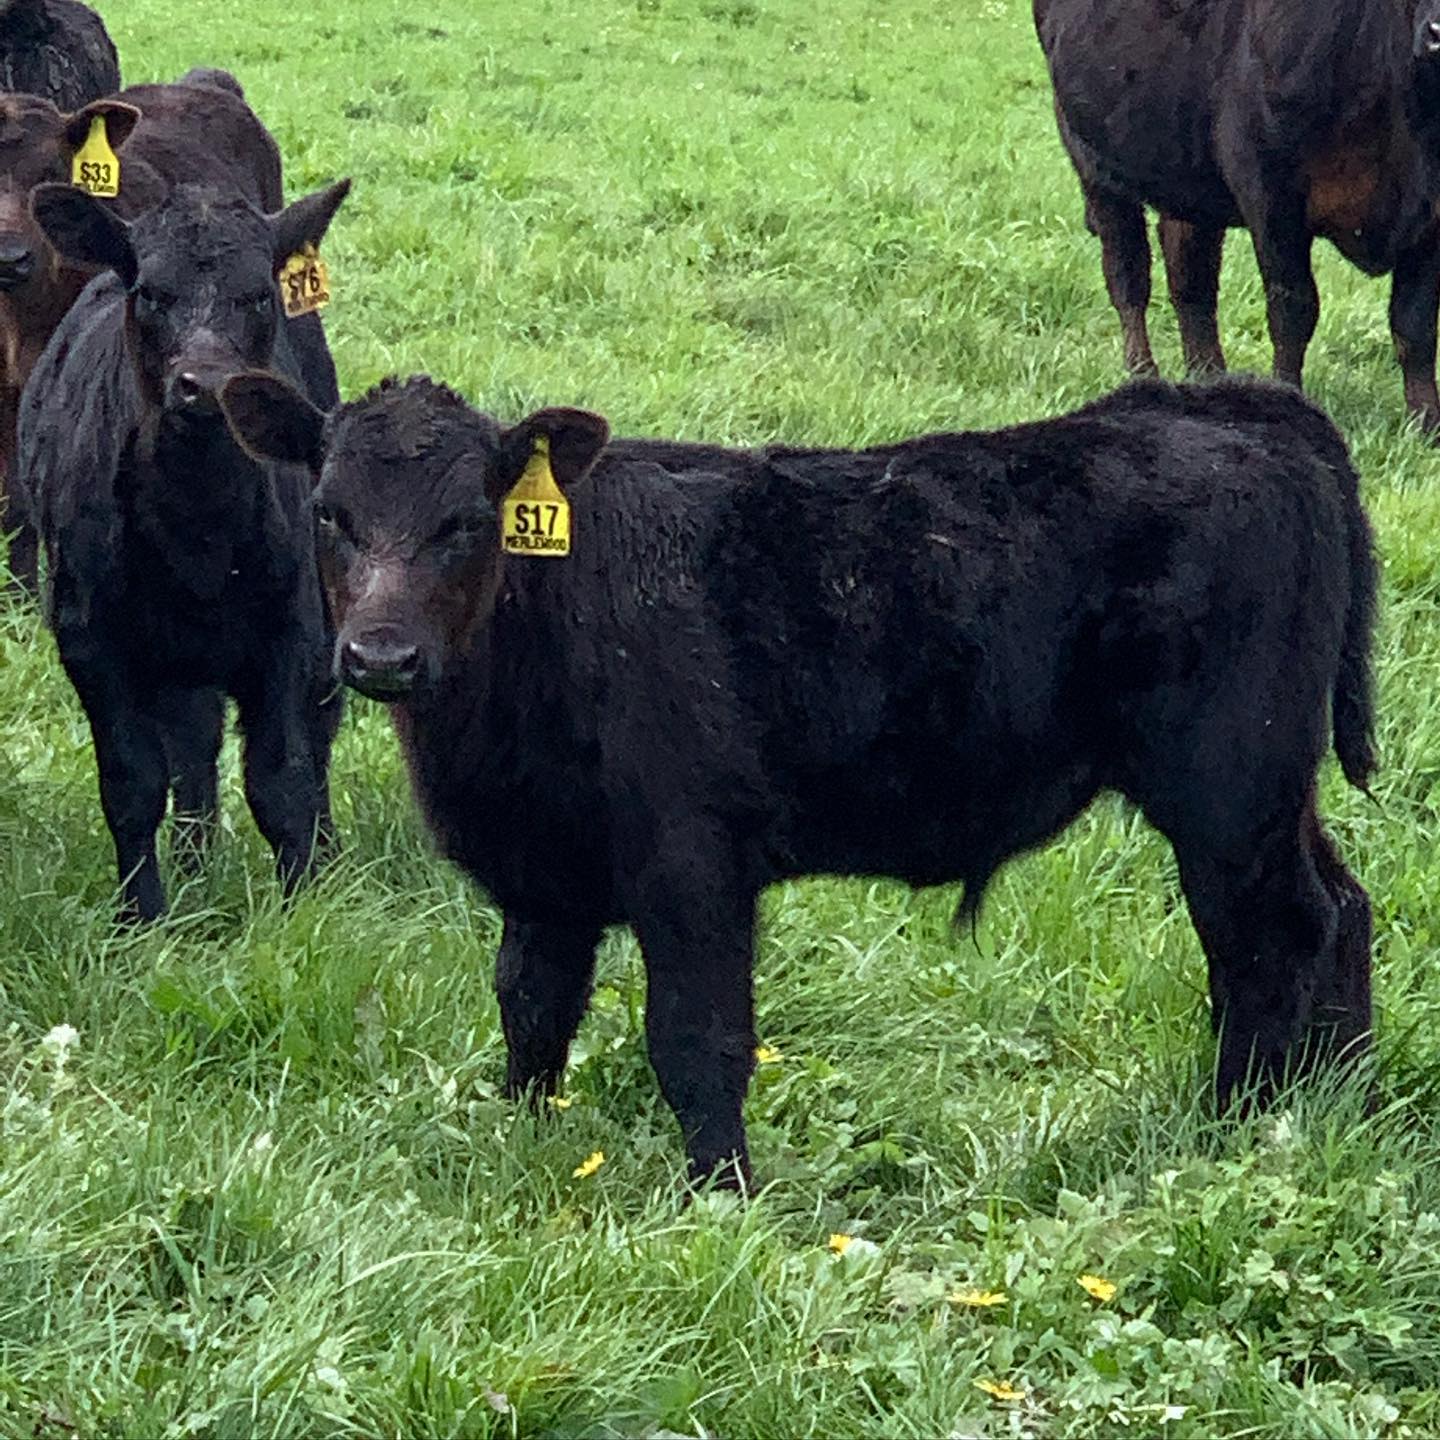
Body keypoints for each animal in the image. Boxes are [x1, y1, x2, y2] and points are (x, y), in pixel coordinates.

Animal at [16, 174, 351, 920]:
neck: (199, 530)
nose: (205, 386)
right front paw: (141, 913)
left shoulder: (292, 629)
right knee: (193, 754)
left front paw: (301, 907)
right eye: (152, 293)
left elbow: (282, 779)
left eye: (258, 294)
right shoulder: (92, 641)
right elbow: (134, 783)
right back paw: (197, 869)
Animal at [218, 369, 1378, 1187]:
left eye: (467, 519)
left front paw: (719, 1195)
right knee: (1340, 908)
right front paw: (521, 1142)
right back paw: (1335, 1101)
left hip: (1226, 790)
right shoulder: (544, 876)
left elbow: (696, 1037)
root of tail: (1213, 405)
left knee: (1268, 940)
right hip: (1274, 790)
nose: (380, 655)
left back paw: (1234, 1124)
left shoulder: (692, 865)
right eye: (327, 512)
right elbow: (532, 1009)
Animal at [1035, 0, 1440, 432]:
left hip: (1188, 175)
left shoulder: (1431, 219)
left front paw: (1425, 424)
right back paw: (1143, 372)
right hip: (1093, 162)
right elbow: (1293, 310)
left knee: (1189, 277)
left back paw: (1208, 377)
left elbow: (1414, 324)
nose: (1437, 34)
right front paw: (1289, 396)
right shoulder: (1270, 192)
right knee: (1128, 277)